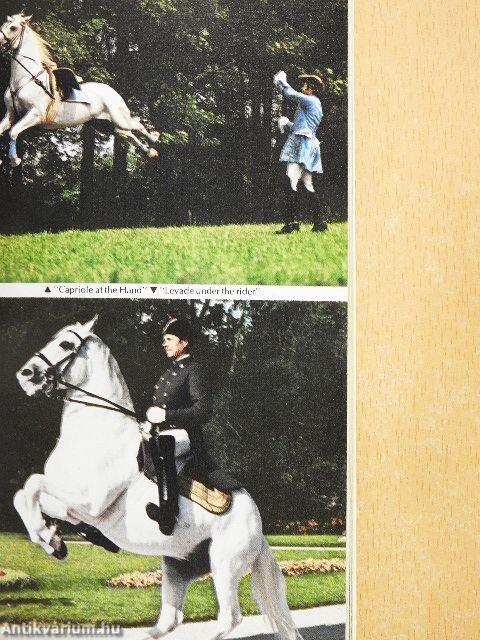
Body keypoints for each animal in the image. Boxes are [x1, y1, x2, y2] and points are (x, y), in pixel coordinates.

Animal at [0, 12, 160, 167]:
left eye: (13, 27)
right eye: (3, 25)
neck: (26, 79)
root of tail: (113, 91)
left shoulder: (36, 114)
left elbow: (13, 132)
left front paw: (15, 160)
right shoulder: (11, 114)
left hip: (120, 119)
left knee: (137, 126)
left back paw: (154, 138)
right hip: (106, 125)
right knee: (130, 136)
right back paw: (150, 151)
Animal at [14, 317, 303, 640]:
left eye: (65, 344)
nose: (25, 375)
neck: (98, 433)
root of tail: (258, 524)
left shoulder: (90, 502)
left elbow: (32, 485)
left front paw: (46, 534)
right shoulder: (72, 505)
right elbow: (25, 494)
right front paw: (51, 539)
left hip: (225, 564)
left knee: (230, 618)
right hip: (177, 566)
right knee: (170, 619)